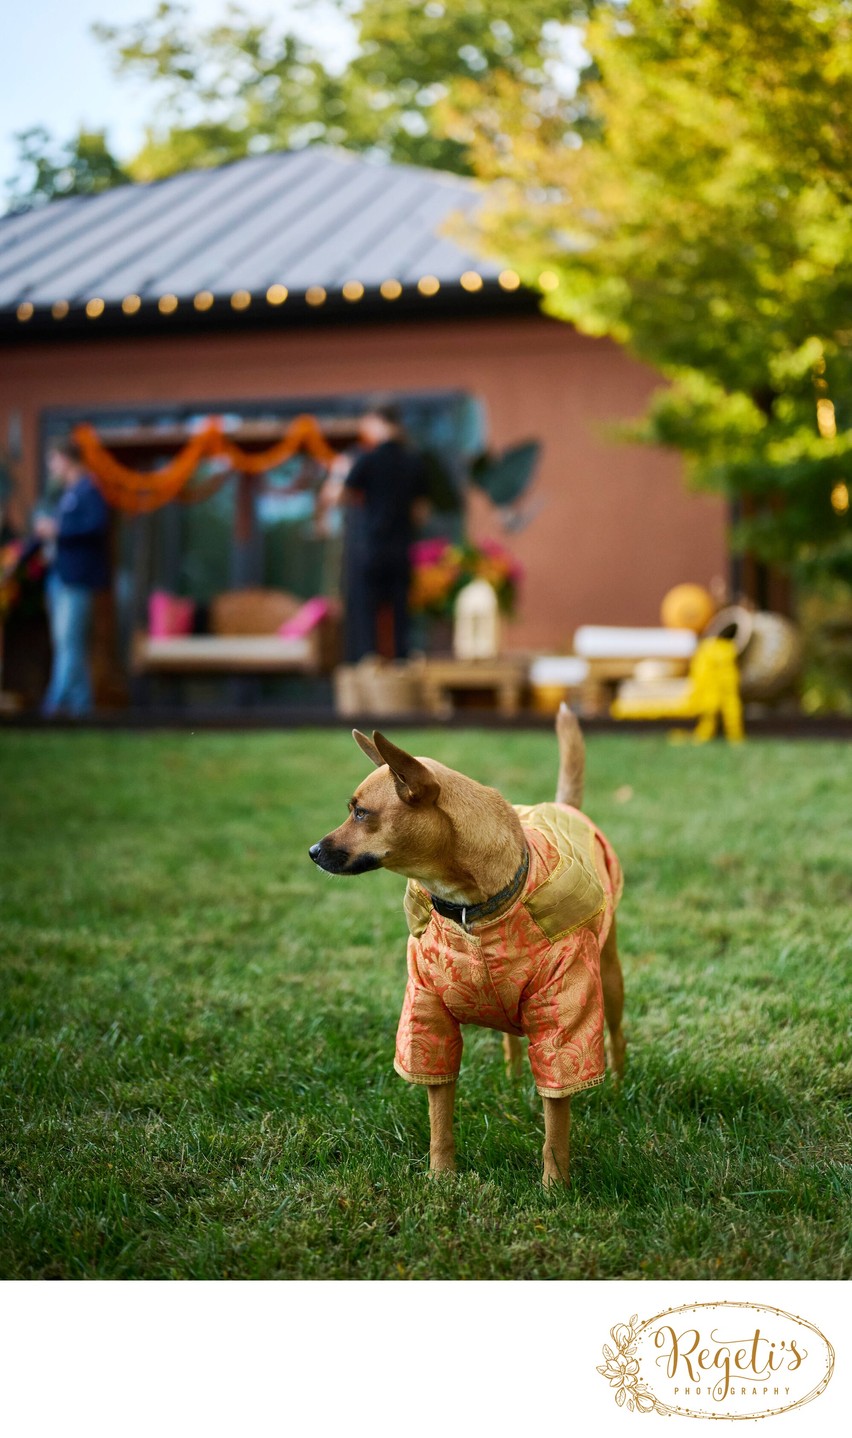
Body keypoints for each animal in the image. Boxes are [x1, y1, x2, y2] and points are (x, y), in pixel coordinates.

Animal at [309, 701, 621, 1184]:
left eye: (361, 814)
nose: (312, 851)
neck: (469, 911)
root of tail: (561, 805)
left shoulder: (563, 1019)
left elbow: (556, 1120)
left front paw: (555, 1186)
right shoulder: (427, 1017)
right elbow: (439, 1112)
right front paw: (441, 1177)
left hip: (610, 978)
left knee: (617, 1035)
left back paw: (622, 1089)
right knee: (513, 1040)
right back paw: (512, 1081)